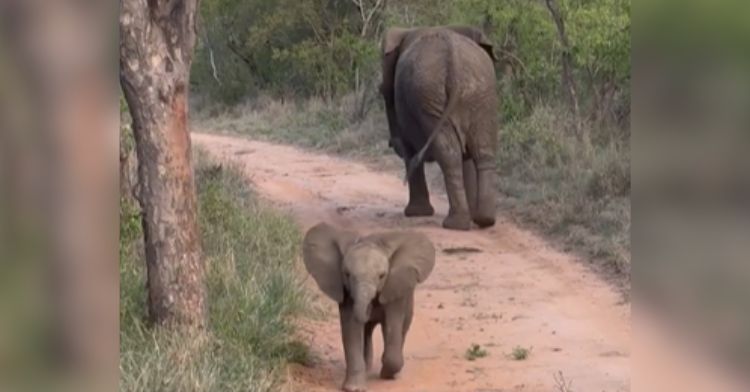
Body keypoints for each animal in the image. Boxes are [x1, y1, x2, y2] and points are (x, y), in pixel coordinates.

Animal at [302, 222, 438, 392]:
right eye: (346, 274)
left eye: (382, 276)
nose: (369, 309)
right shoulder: (346, 292)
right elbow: (351, 330)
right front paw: (354, 388)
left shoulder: (393, 287)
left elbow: (392, 326)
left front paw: (387, 375)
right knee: (366, 332)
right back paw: (367, 369)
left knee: (402, 329)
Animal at [382, 25, 500, 230]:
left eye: (381, 91)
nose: (390, 143)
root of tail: (454, 61)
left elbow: (409, 149)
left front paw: (415, 214)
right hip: (479, 94)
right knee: (482, 151)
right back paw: (484, 220)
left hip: (431, 95)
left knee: (450, 154)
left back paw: (455, 224)